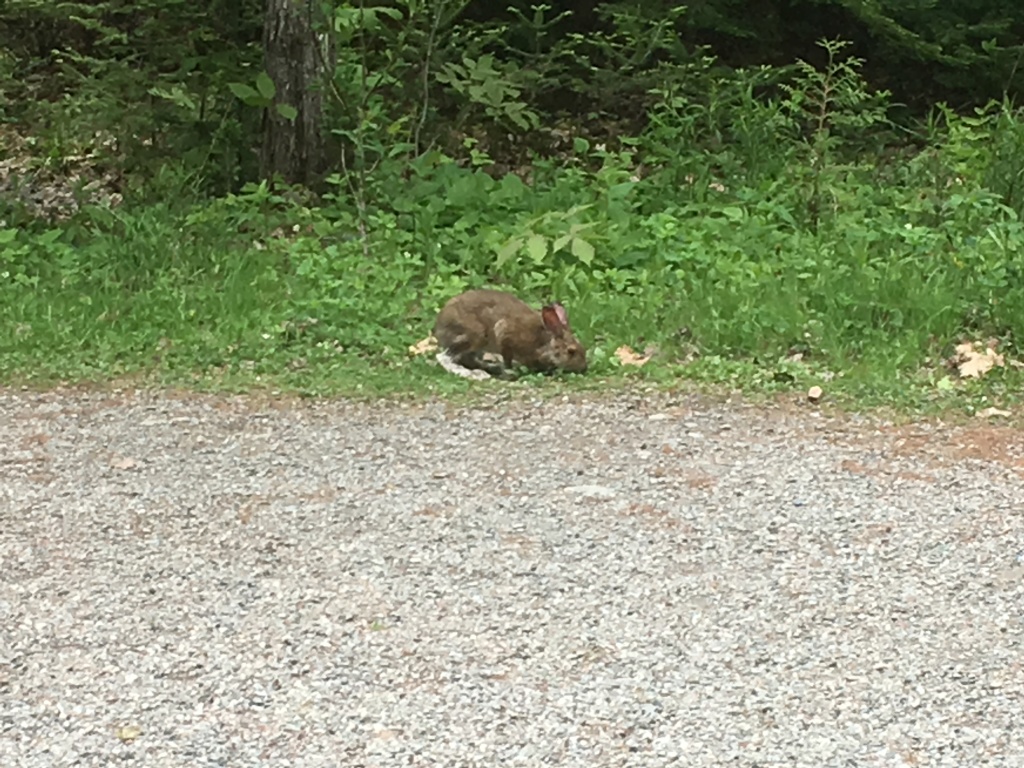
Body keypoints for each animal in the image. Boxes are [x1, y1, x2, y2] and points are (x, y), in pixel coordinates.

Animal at [433, 289, 587, 380]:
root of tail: (439, 325)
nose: (584, 368)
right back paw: (469, 374)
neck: (544, 343)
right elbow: (507, 358)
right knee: (444, 357)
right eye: (571, 351)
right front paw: (510, 373)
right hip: (474, 336)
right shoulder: (505, 335)